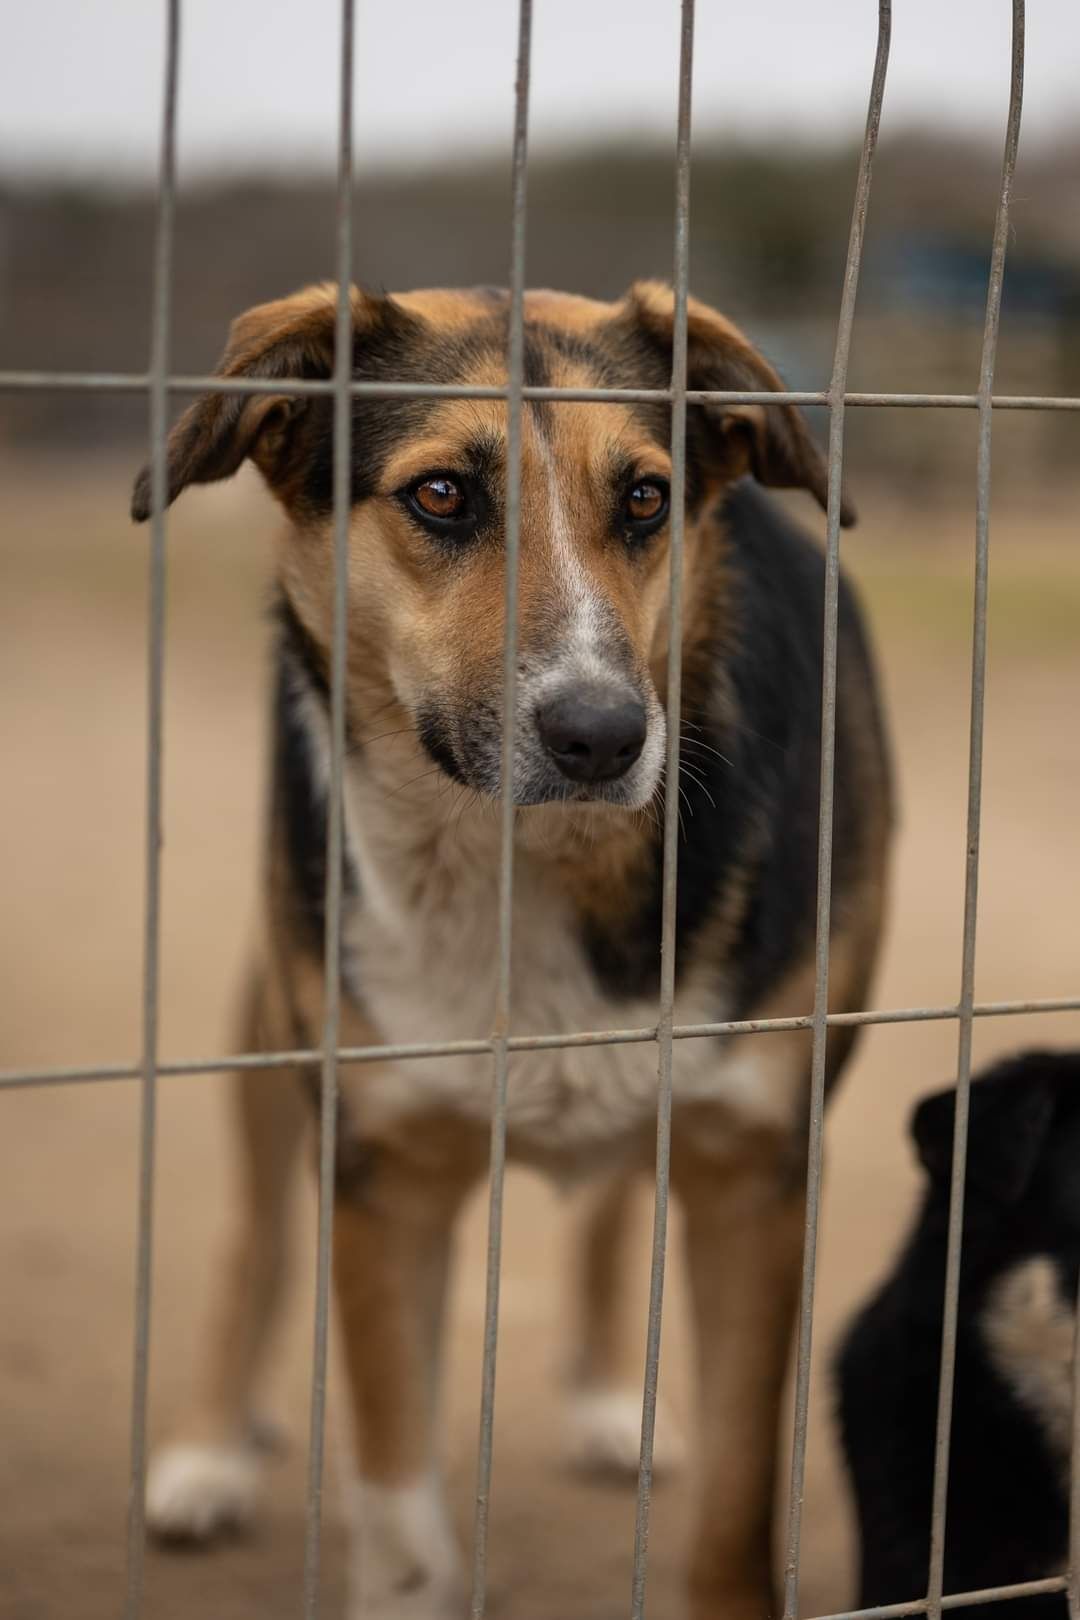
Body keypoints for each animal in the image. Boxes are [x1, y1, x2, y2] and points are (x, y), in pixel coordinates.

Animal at [132, 281, 893, 1620]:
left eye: (645, 498)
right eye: (442, 495)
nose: (603, 735)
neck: (531, 862)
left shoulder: (754, 1168)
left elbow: (738, 1506)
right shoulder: (385, 1173)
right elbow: (400, 1515)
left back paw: (607, 1396)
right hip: (277, 1029)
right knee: (257, 1234)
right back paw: (209, 1451)